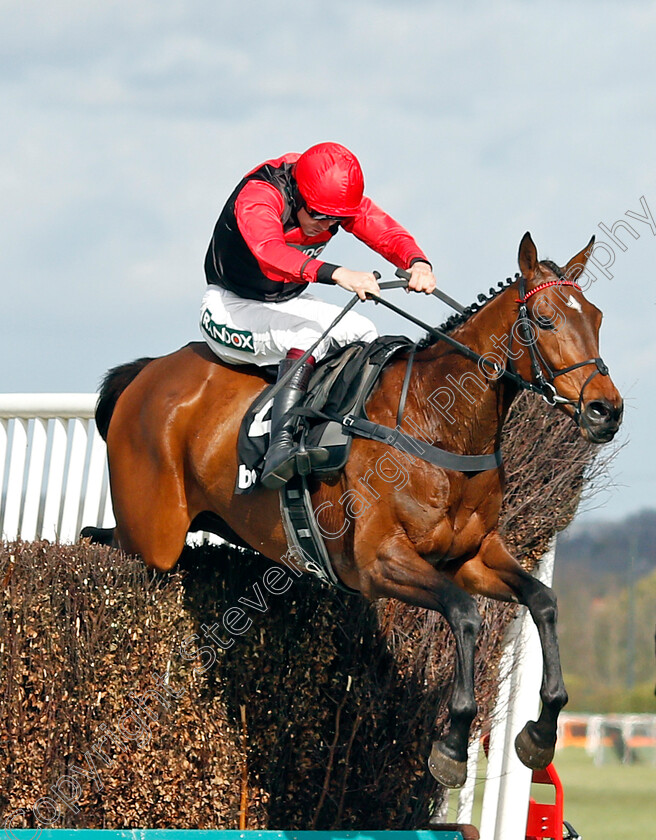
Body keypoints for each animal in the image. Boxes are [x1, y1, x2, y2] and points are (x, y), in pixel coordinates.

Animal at [84, 233, 624, 792]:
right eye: (545, 319)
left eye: (597, 318)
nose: (606, 411)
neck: (438, 422)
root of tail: (146, 371)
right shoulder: (377, 562)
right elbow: (464, 613)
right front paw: (452, 743)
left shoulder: (471, 556)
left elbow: (543, 601)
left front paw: (541, 731)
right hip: (152, 537)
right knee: (97, 542)